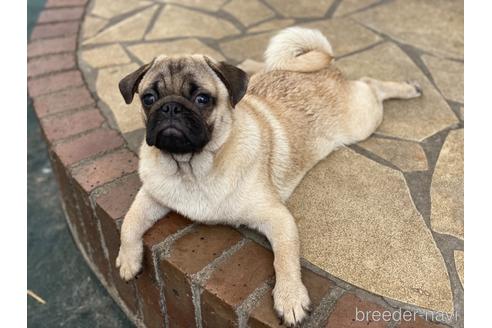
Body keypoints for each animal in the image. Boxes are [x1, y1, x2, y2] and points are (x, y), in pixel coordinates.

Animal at [114, 27, 418, 326]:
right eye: (148, 98)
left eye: (202, 99)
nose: (170, 107)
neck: (192, 168)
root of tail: (324, 67)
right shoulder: (151, 194)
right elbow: (129, 222)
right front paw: (127, 260)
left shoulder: (277, 218)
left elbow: (285, 258)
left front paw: (290, 297)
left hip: (362, 120)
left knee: (371, 84)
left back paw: (409, 88)